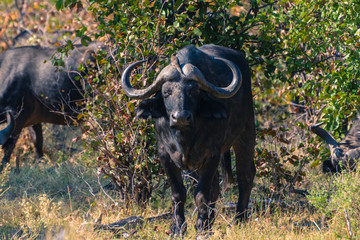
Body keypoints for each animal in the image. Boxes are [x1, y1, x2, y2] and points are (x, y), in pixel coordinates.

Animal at [121, 44, 256, 233]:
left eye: (194, 91)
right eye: (166, 92)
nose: (180, 117)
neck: (184, 138)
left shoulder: (212, 155)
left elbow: (201, 194)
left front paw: (201, 227)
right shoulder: (165, 156)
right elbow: (178, 193)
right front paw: (178, 227)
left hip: (246, 132)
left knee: (245, 175)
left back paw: (239, 219)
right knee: (216, 187)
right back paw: (211, 220)